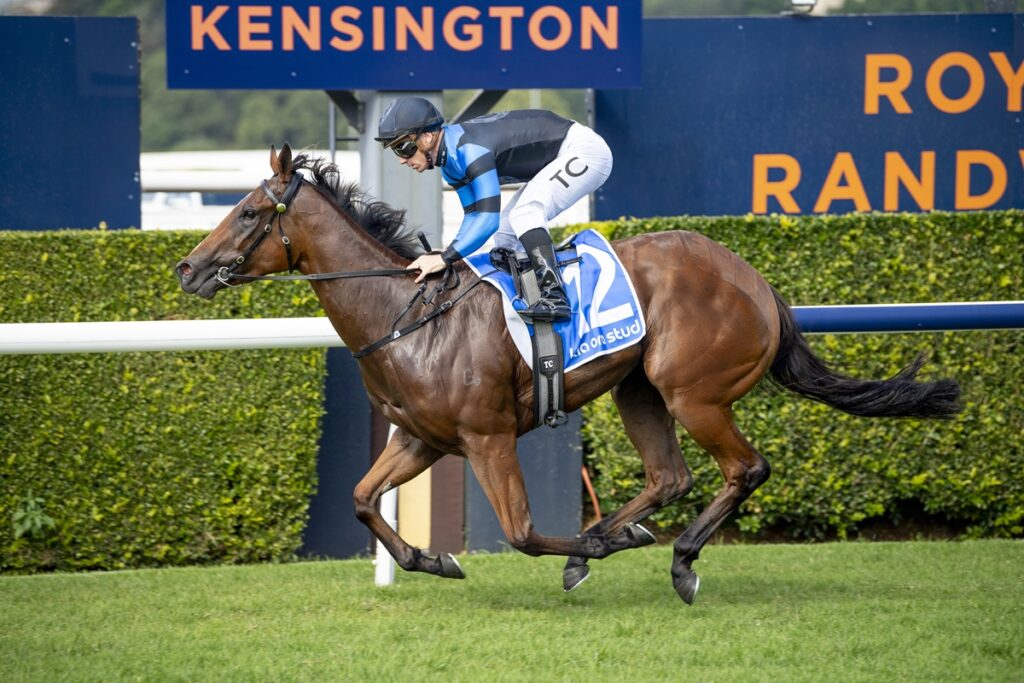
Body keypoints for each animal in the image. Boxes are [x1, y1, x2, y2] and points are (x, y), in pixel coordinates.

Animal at [176, 145, 962, 604]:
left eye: (248, 211)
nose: (186, 267)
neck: (408, 313)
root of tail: (756, 280)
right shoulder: (422, 439)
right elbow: (364, 500)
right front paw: (432, 559)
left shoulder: (488, 437)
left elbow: (523, 531)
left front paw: (582, 547)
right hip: (638, 389)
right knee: (669, 476)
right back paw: (624, 533)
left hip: (693, 391)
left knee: (746, 468)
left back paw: (674, 557)